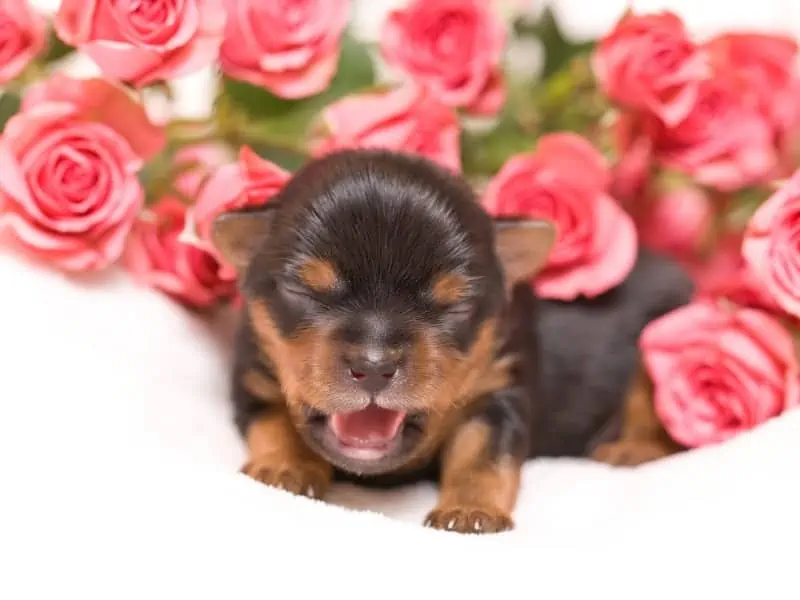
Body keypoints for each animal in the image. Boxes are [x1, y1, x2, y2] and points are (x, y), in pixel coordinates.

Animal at [212, 149, 692, 536]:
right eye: (304, 291)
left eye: (455, 306)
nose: (374, 365)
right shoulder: (255, 375)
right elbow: (273, 420)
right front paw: (285, 466)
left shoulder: (498, 392)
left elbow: (482, 456)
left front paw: (470, 511)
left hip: (661, 336)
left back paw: (632, 448)